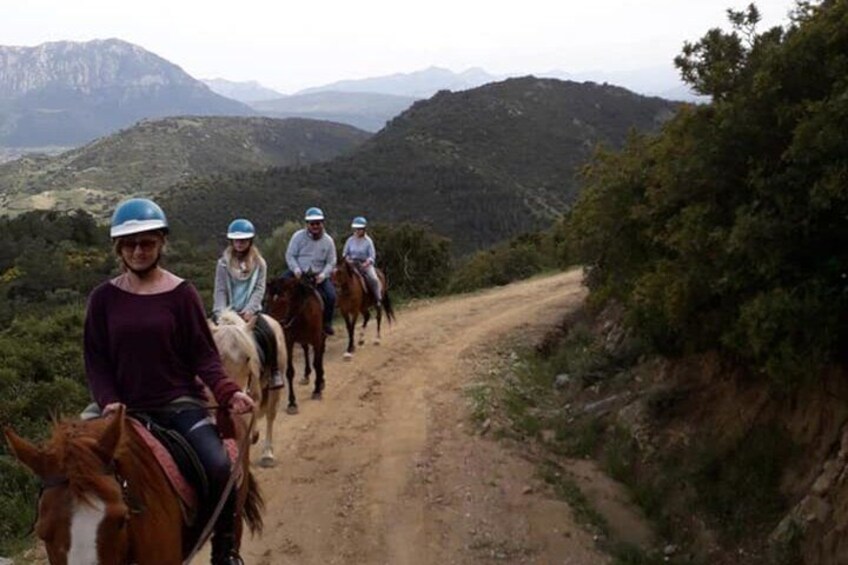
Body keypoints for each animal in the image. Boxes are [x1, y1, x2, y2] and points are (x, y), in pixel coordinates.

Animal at [210, 308, 284, 468]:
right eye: (219, 358)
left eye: (248, 358)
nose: (237, 399)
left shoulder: (251, 398)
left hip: (274, 388)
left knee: (269, 416)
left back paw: (267, 454)